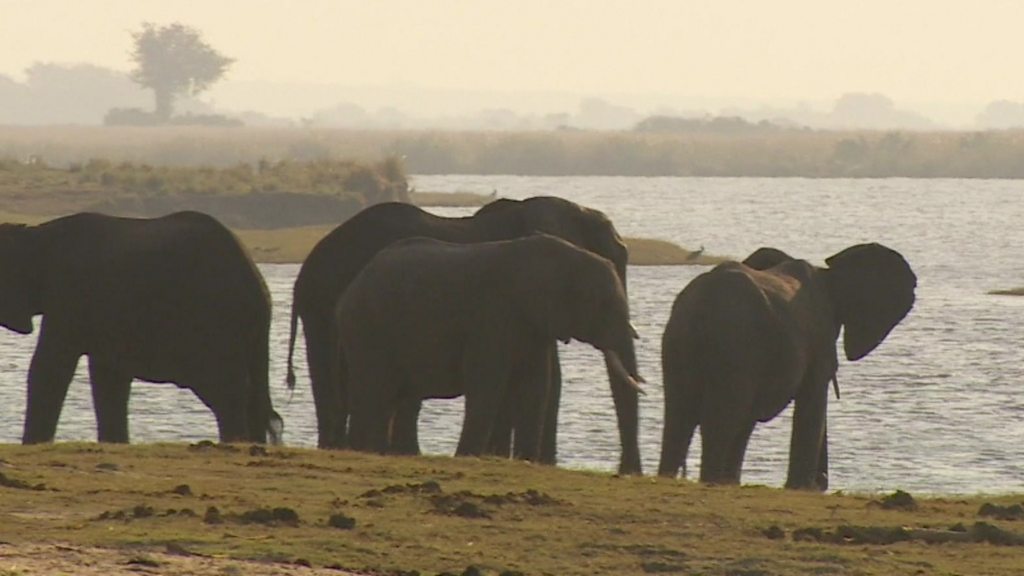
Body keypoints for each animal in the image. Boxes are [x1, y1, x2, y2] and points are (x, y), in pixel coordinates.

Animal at [0, 211, 282, 444]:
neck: (36, 235)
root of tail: (258, 286)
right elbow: (109, 378)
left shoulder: (68, 296)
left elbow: (49, 369)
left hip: (215, 322)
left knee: (225, 389)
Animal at [658, 243, 916, 490]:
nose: (821, 482)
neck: (828, 273)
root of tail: (700, 306)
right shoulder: (818, 338)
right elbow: (812, 402)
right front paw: (801, 488)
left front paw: (732, 483)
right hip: (735, 346)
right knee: (721, 418)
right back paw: (709, 481)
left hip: (679, 342)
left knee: (680, 416)